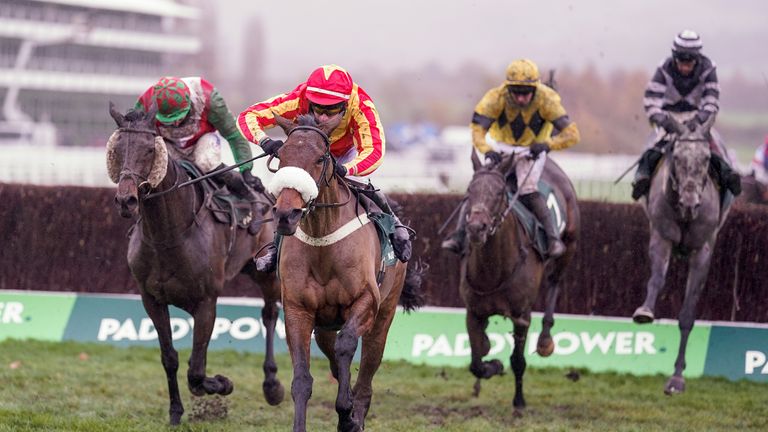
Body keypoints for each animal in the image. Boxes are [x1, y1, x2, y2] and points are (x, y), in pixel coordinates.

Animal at [107, 104, 284, 426]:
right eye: (117, 148)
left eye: (150, 149)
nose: (126, 200)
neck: (168, 235)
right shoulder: (152, 300)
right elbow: (171, 358)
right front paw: (176, 412)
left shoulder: (206, 302)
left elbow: (197, 371)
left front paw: (221, 384)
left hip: (264, 272)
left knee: (269, 314)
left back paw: (272, 385)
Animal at [268, 113, 426, 430]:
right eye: (281, 155)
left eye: (320, 158)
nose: (286, 215)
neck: (323, 242)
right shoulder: (298, 310)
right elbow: (302, 379)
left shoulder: (366, 301)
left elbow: (346, 345)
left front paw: (346, 412)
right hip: (324, 325)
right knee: (332, 356)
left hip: (384, 314)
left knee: (367, 370)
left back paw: (356, 411)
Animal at [460, 153, 580, 412]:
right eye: (470, 190)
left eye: (498, 193)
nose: (475, 228)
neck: (493, 270)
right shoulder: (473, 312)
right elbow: (476, 362)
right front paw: (492, 363)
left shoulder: (521, 315)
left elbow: (517, 360)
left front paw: (519, 401)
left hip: (569, 245)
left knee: (555, 282)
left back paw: (545, 340)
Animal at [632, 114, 728, 394]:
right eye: (676, 156)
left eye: (706, 158)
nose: (690, 202)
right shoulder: (661, 237)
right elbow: (656, 279)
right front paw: (645, 311)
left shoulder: (702, 249)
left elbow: (687, 315)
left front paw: (676, 378)